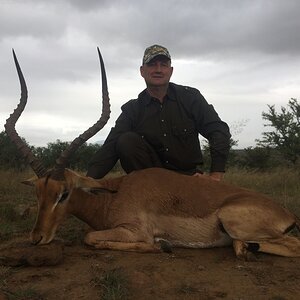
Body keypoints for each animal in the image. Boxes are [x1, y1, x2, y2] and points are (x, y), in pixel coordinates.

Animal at [4, 48, 300, 258]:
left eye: (64, 194)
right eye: (38, 193)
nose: (36, 238)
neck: (112, 195)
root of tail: (286, 214)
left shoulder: (133, 231)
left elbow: (90, 237)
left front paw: (162, 245)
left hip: (233, 222)